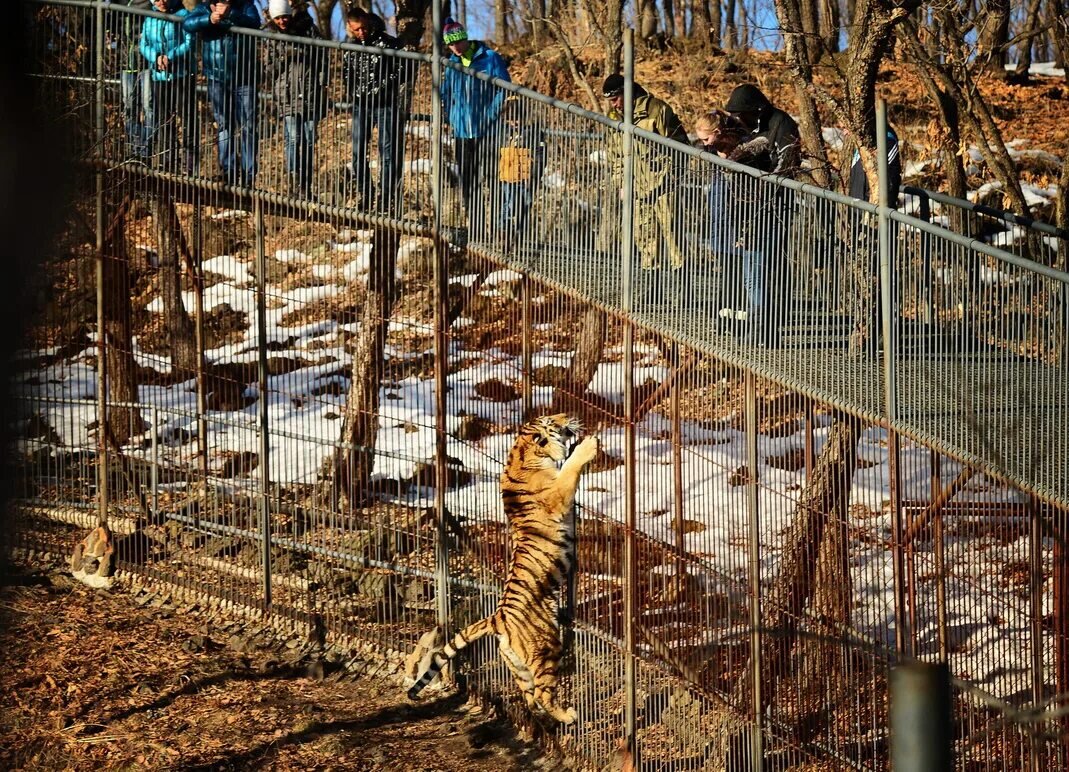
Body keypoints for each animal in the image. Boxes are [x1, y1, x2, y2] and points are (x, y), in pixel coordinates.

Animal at [404, 414, 598, 722]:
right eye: (551, 420)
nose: (567, 417)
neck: (523, 453)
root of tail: (498, 619)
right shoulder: (557, 493)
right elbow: (570, 469)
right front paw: (587, 445)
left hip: (517, 664)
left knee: (530, 698)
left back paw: (541, 719)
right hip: (546, 647)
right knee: (543, 693)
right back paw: (567, 715)